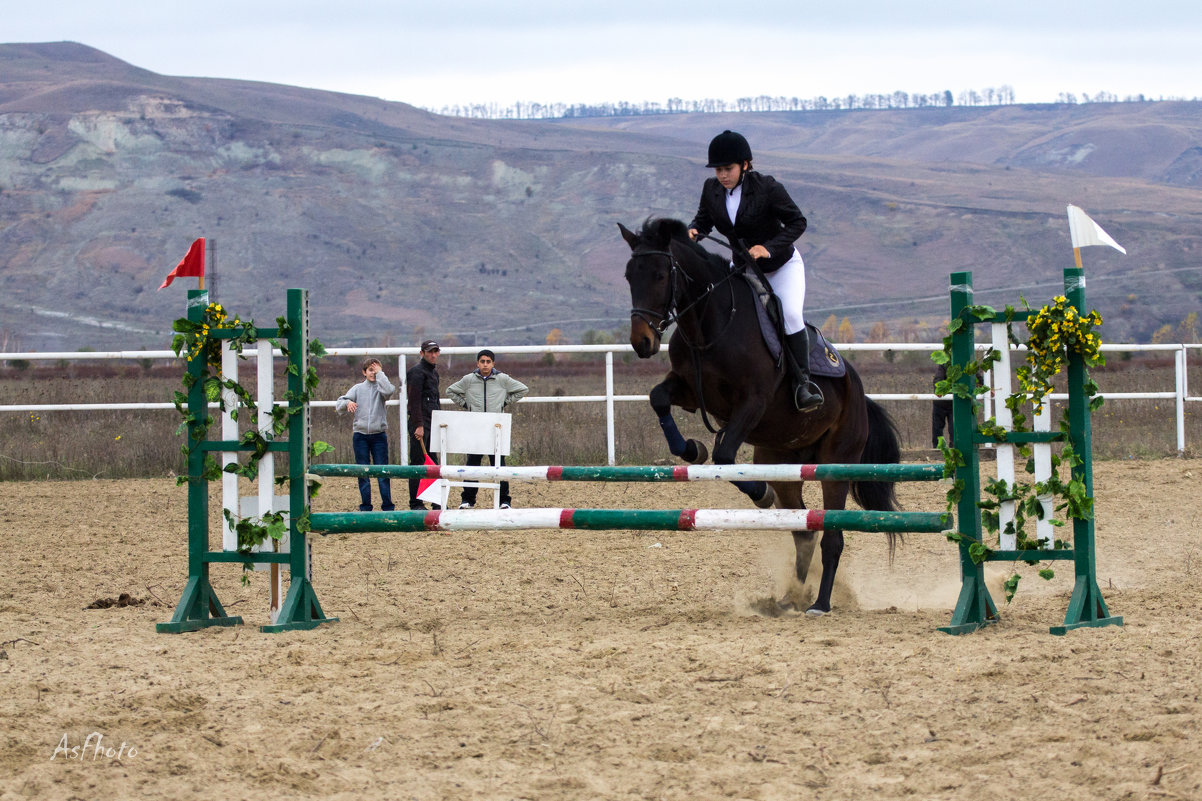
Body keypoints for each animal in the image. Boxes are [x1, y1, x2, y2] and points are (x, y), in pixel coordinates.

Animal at [620, 215, 903, 613]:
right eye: (630, 276)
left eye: (661, 275)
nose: (642, 342)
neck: (709, 324)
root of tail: (858, 390)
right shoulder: (690, 390)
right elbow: (659, 399)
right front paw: (691, 449)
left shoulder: (752, 402)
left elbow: (725, 456)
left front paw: (759, 493)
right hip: (782, 460)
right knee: (803, 531)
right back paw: (790, 599)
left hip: (837, 464)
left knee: (831, 537)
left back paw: (820, 604)